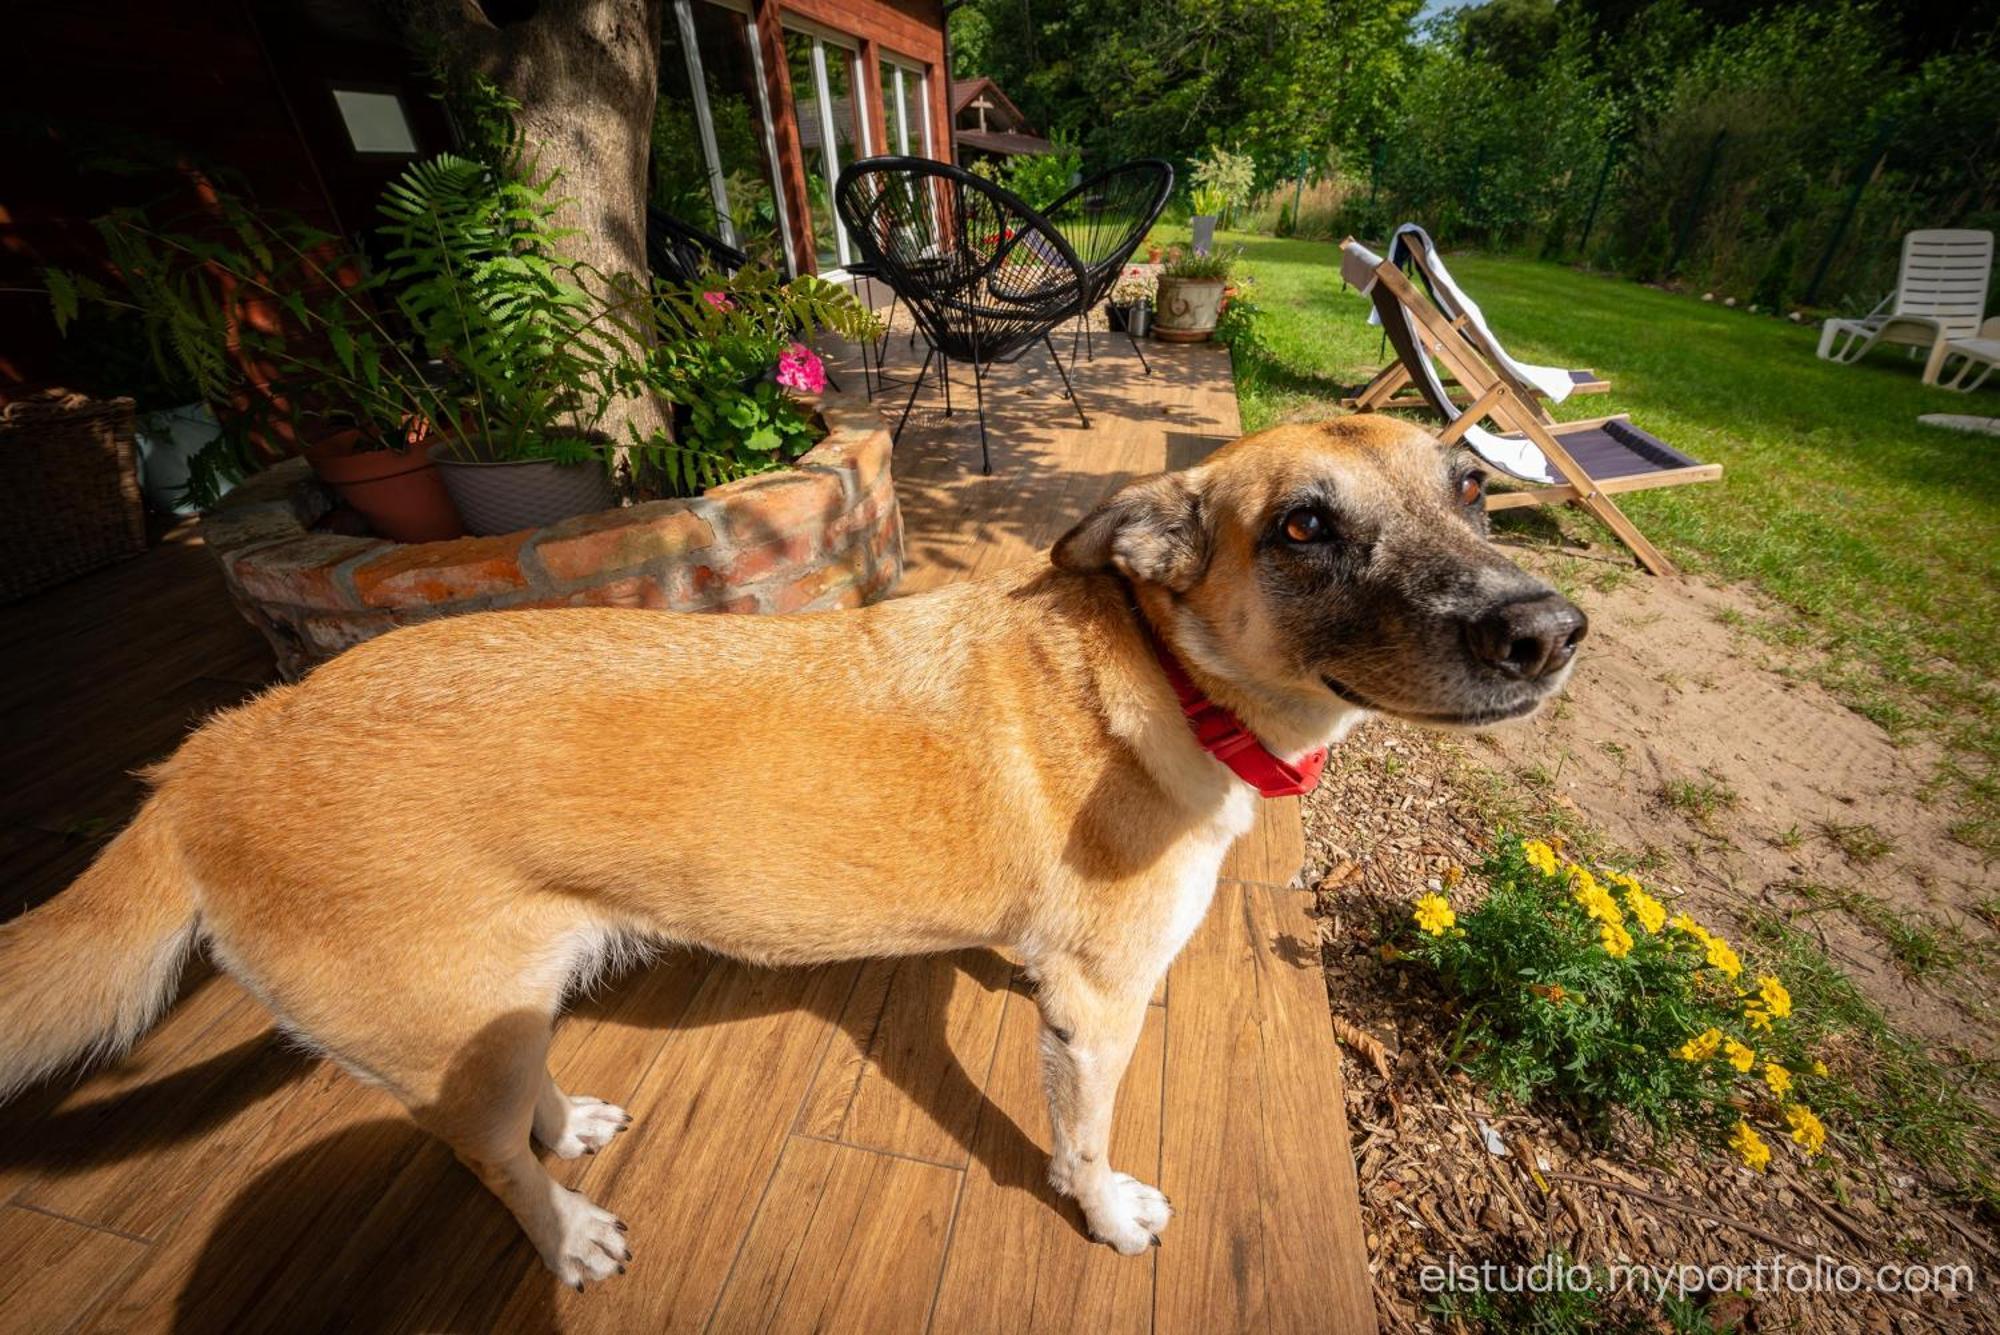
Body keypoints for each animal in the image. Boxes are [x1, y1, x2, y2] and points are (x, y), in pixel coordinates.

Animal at [3, 413, 1592, 1279]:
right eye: (1306, 526)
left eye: (1471, 488)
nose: (1550, 629)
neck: (1163, 674)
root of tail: (203, 757)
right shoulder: (1098, 1008)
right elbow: (1081, 1138)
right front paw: (1103, 1209)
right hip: (439, 1039)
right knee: (486, 1167)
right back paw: (566, 1232)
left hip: (500, 1008)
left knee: (518, 1099)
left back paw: (569, 1122)